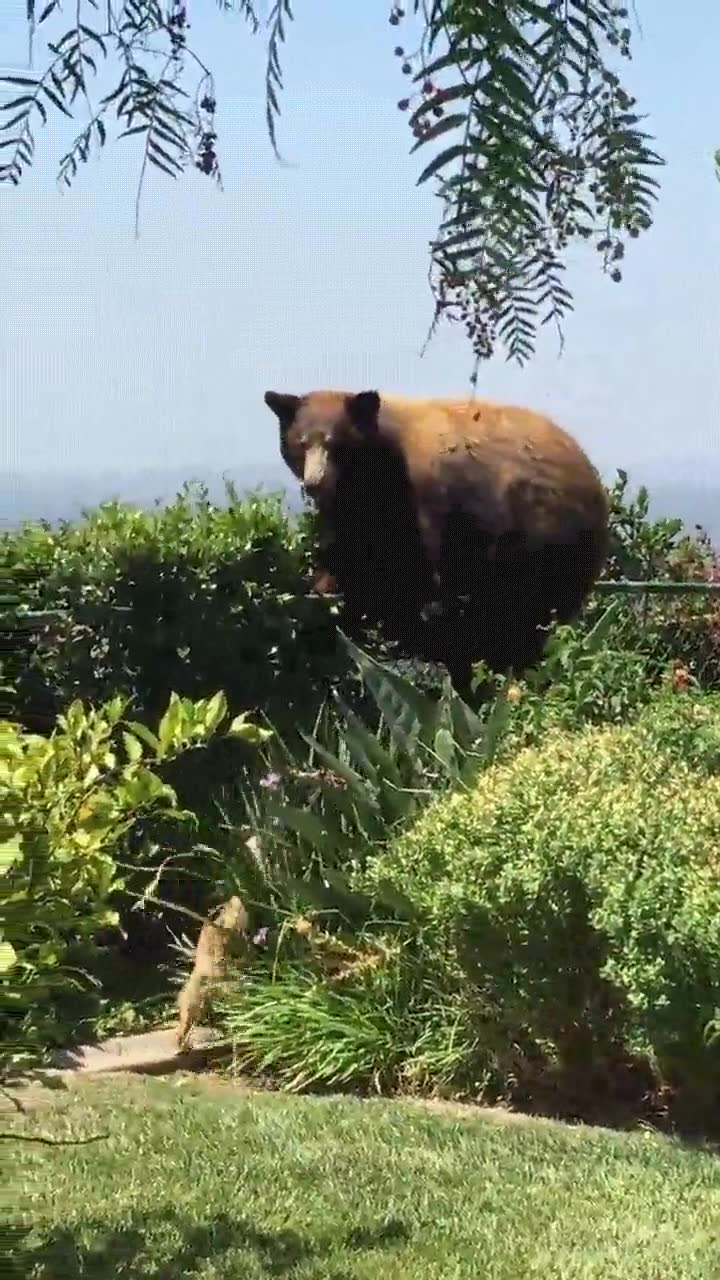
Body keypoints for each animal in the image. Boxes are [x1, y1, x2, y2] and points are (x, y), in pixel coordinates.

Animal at [264, 388, 610, 700]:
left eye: (336, 445)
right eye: (300, 443)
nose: (314, 482)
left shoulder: (419, 501)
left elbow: (408, 572)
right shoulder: (358, 508)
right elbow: (351, 554)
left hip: (545, 549)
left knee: (515, 621)